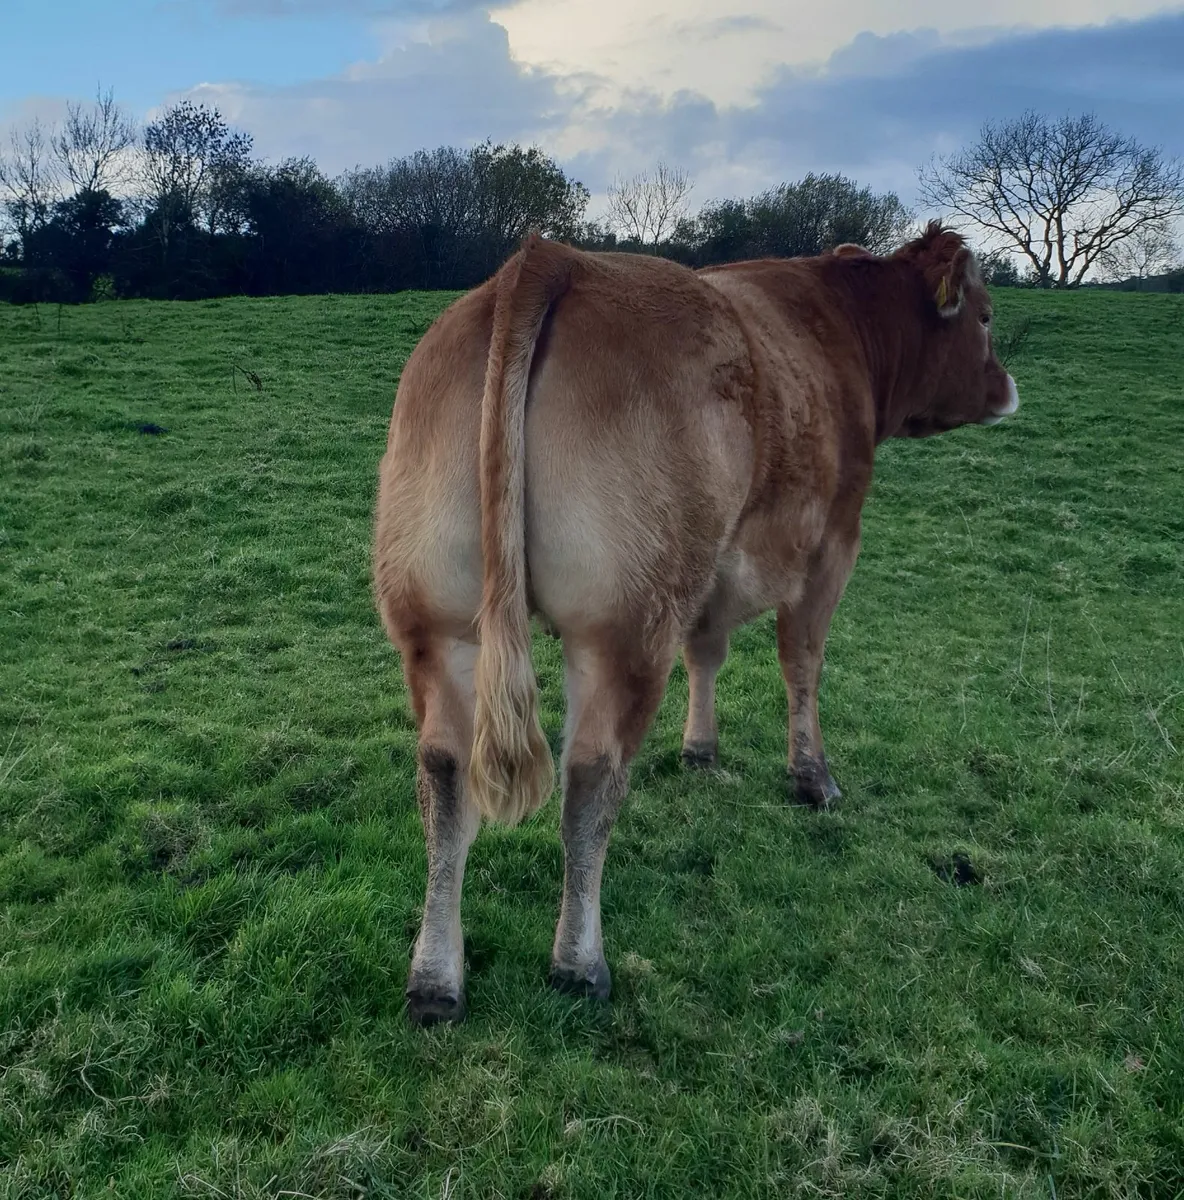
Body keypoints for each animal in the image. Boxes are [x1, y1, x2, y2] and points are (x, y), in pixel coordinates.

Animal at [373, 222, 1020, 1024]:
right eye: (986, 316)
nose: (1007, 389)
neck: (842, 325)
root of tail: (550, 258)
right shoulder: (832, 542)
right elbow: (801, 660)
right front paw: (813, 778)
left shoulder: (710, 570)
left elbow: (706, 652)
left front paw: (700, 750)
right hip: (623, 624)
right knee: (591, 778)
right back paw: (579, 963)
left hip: (439, 622)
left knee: (445, 775)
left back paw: (435, 980)